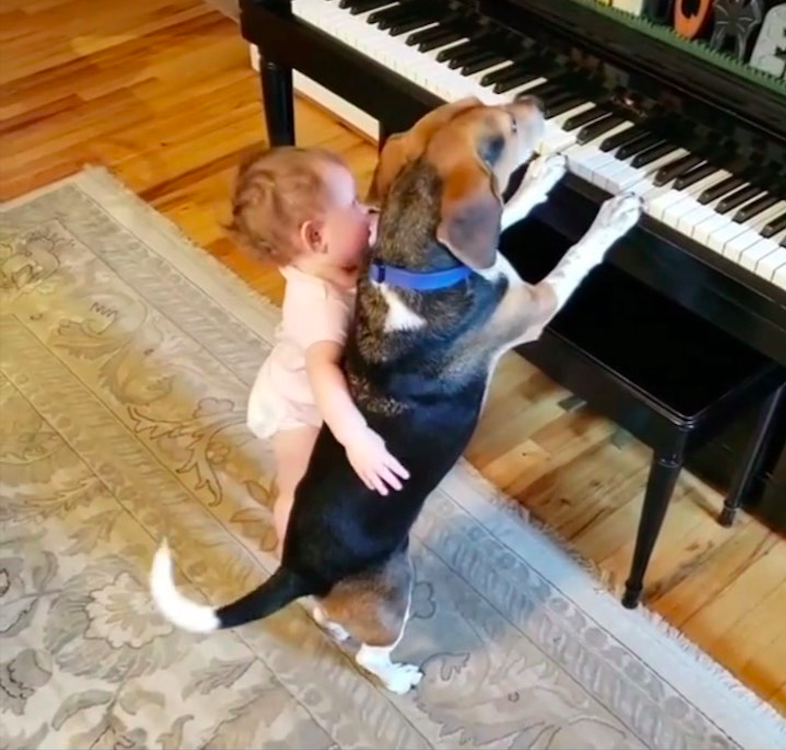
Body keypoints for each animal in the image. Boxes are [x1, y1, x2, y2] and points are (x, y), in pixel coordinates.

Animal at [150, 95, 640, 700]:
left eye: (486, 103)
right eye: (506, 128)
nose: (536, 101)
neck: (413, 264)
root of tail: (298, 567)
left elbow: (508, 212)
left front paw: (543, 176)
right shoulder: (533, 306)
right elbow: (573, 258)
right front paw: (613, 217)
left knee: (325, 616)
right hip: (396, 589)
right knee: (370, 655)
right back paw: (400, 677)